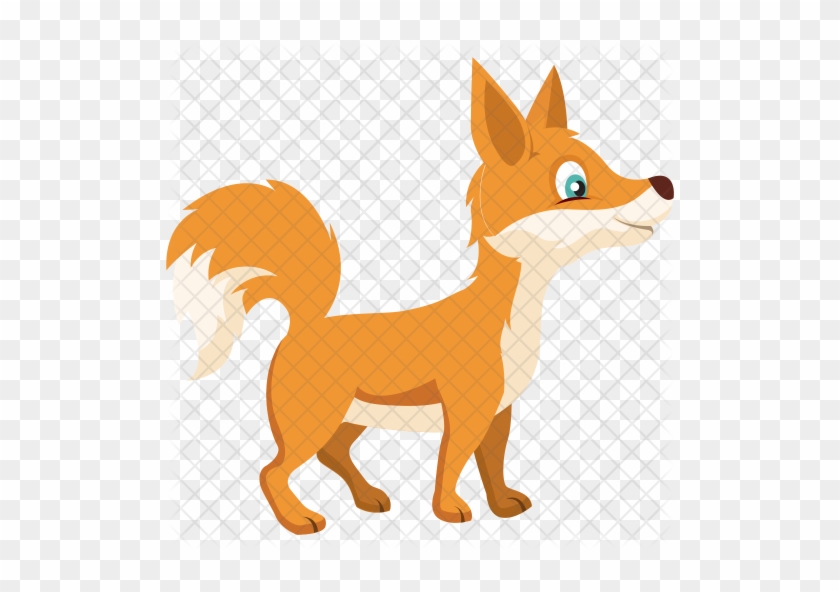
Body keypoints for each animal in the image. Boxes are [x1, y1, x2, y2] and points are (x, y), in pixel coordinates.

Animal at [166, 59, 673, 535]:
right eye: (575, 185)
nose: (664, 184)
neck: (511, 318)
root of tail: (305, 323)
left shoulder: (499, 413)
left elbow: (492, 465)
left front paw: (503, 505)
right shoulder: (467, 410)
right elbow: (451, 464)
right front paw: (449, 511)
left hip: (349, 418)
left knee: (332, 455)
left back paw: (368, 497)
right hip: (313, 420)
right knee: (272, 471)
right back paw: (299, 519)